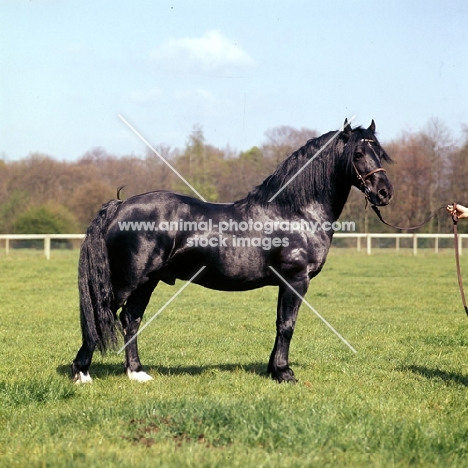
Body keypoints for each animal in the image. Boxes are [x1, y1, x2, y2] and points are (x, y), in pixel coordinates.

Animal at [71, 119, 394, 384]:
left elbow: (279, 324)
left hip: (147, 282)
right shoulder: (296, 280)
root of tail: (120, 206)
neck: (296, 212)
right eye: (357, 154)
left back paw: (136, 373)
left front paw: (274, 370)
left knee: (131, 319)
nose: (385, 193)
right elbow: (288, 325)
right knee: (102, 315)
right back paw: (82, 373)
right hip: (128, 281)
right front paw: (285, 373)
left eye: (380, 153)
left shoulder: (285, 283)